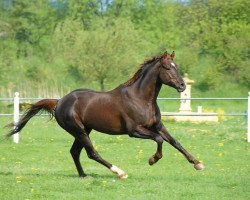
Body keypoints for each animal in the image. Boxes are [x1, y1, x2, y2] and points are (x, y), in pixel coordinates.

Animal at [6, 50, 204, 179]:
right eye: (168, 67)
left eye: (176, 66)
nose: (182, 86)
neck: (140, 98)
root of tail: (59, 101)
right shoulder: (135, 131)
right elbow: (159, 140)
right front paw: (152, 160)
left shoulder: (157, 126)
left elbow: (175, 142)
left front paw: (197, 163)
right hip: (79, 130)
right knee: (91, 152)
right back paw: (120, 172)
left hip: (85, 130)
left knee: (75, 152)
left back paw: (83, 175)